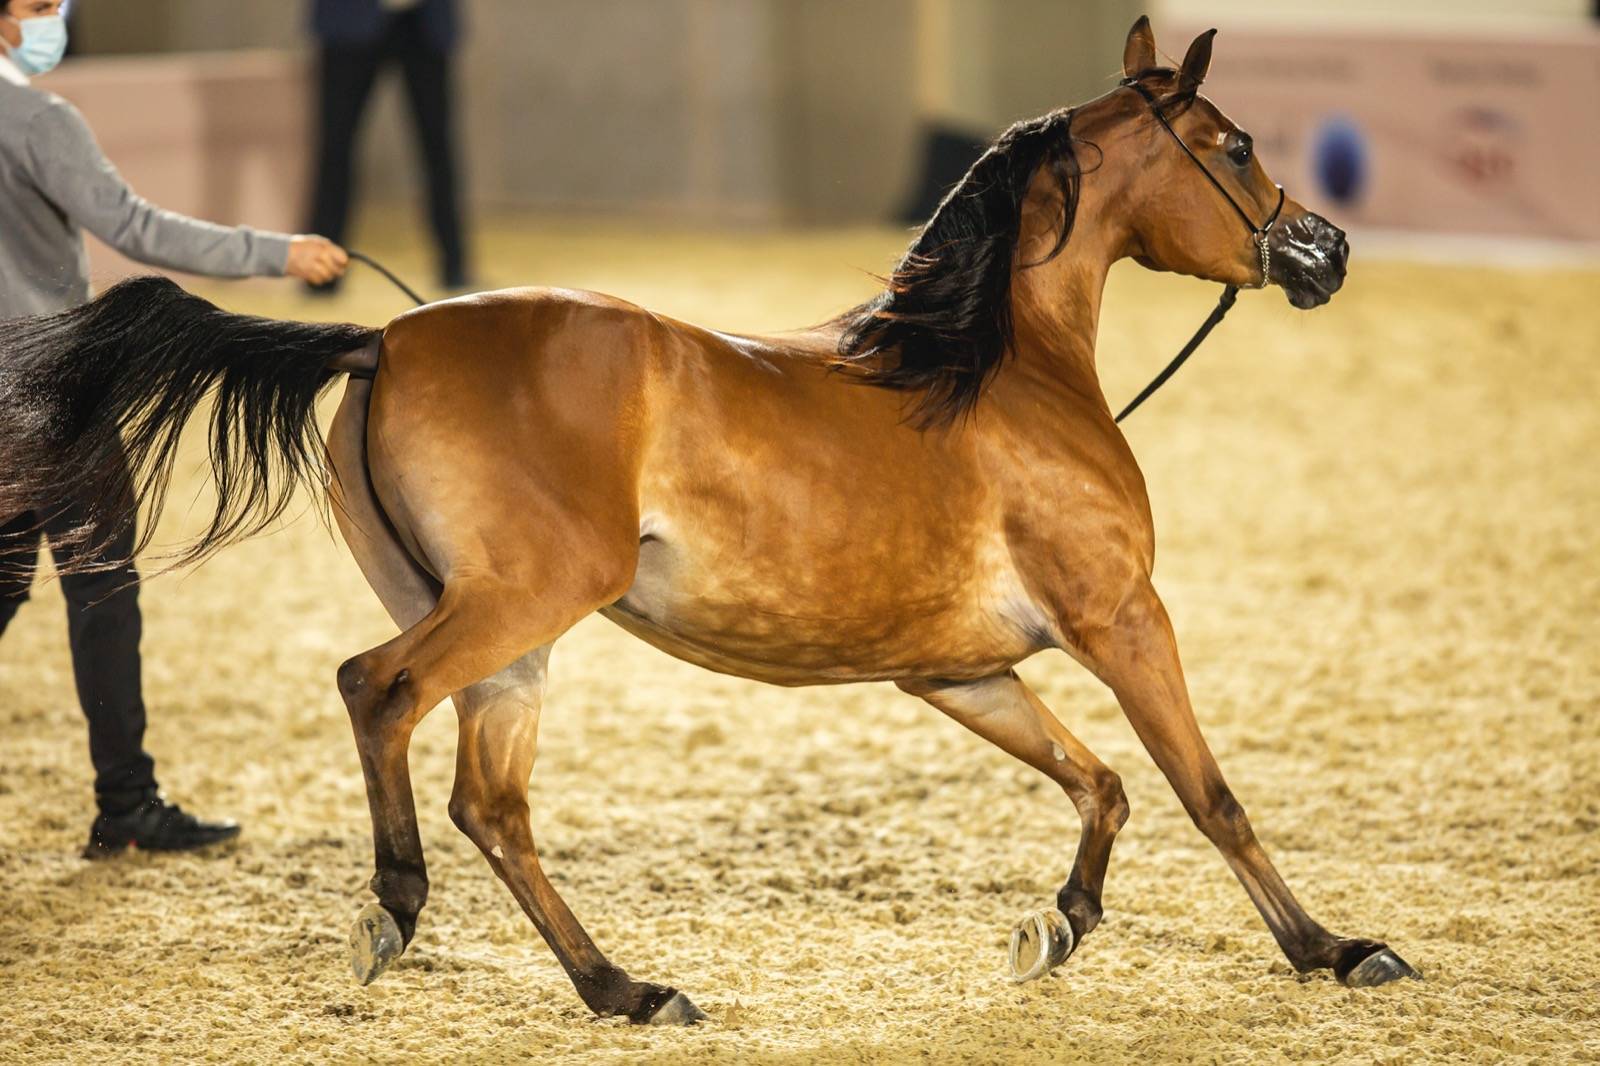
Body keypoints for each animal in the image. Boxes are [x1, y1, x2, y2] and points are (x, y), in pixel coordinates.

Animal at [0, 16, 1416, 1025]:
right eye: (1232, 145)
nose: (1326, 250)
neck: (998, 369)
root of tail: (384, 339)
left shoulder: (957, 670)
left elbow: (1100, 783)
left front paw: (1055, 924)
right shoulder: (1121, 618)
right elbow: (1205, 791)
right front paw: (1333, 948)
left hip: (509, 642)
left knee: (488, 802)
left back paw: (621, 988)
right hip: (518, 602)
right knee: (377, 692)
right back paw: (401, 910)